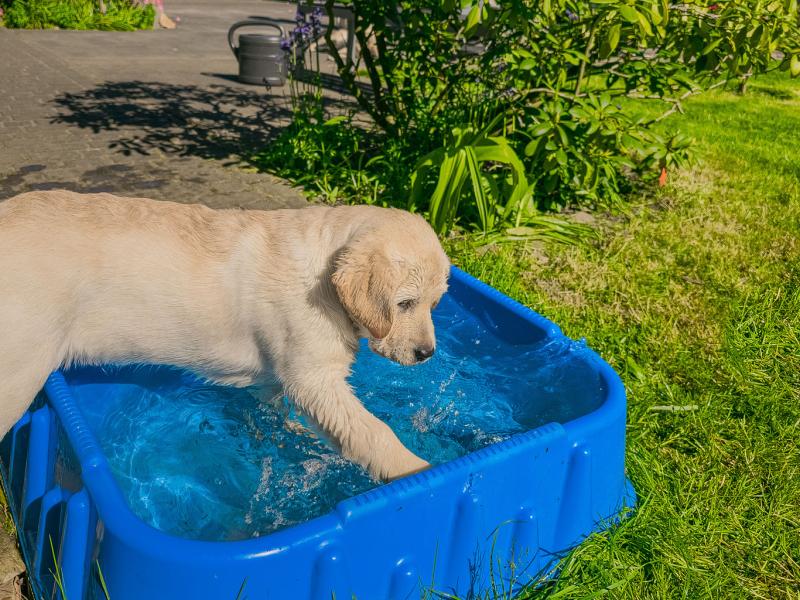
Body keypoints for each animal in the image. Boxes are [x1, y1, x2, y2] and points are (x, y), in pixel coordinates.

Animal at [0, 192, 450, 482]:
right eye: (405, 303)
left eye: (435, 303)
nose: (426, 353)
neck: (323, 275)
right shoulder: (315, 378)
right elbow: (372, 430)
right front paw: (414, 469)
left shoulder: (279, 379)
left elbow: (293, 415)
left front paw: (300, 435)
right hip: (19, 371)